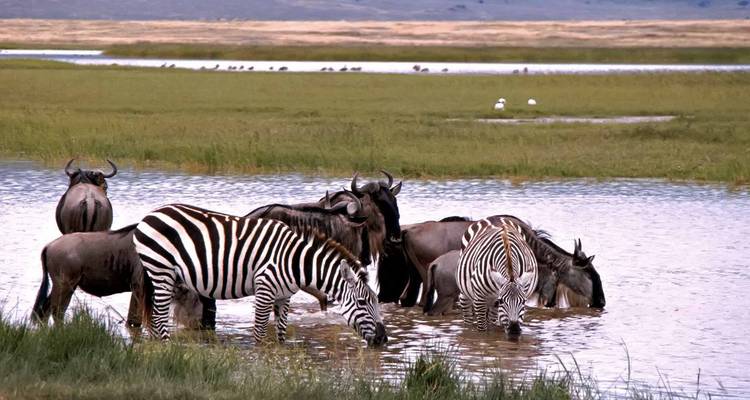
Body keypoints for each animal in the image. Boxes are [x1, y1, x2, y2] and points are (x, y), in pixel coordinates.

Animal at [133, 203, 388, 346]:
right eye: (363, 302)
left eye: (376, 301)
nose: (383, 339)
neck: (294, 261)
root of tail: (151, 214)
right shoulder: (264, 291)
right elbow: (259, 334)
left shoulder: (284, 297)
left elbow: (281, 333)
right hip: (161, 270)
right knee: (159, 317)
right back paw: (166, 348)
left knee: (155, 317)